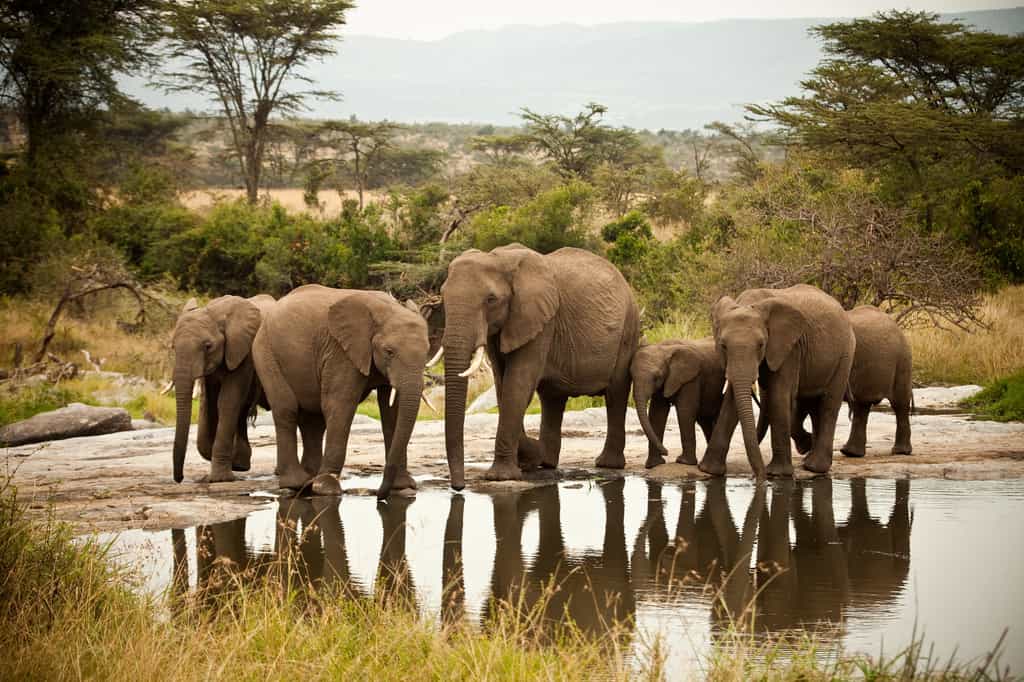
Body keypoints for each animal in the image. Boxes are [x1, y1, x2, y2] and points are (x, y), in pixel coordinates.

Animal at [171, 294, 275, 484]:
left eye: (208, 346)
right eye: (173, 347)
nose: (179, 479)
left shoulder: (244, 353)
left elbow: (227, 401)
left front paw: (219, 479)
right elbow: (210, 405)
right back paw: (241, 465)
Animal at [251, 285, 429, 499]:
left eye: (427, 351)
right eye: (389, 352)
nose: (378, 494)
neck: (387, 309)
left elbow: (392, 412)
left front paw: (403, 487)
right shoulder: (340, 351)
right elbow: (341, 404)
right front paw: (326, 488)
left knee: (313, 420)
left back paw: (309, 480)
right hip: (265, 352)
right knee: (286, 409)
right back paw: (296, 484)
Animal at [431, 243, 640, 487]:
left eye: (491, 299)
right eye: (443, 296)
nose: (459, 487)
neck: (499, 258)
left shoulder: (540, 321)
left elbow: (517, 385)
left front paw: (502, 476)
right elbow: (503, 385)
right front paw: (528, 458)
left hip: (628, 328)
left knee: (616, 393)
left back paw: (606, 464)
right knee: (552, 398)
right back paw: (547, 461)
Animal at [631, 338, 725, 468]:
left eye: (656, 377)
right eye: (631, 376)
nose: (666, 452)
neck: (665, 348)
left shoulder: (691, 378)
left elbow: (684, 411)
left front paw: (684, 462)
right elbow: (657, 414)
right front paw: (653, 465)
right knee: (704, 420)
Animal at [703, 284, 855, 477]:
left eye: (761, 345)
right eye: (723, 346)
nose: (758, 477)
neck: (749, 303)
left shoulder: (790, 348)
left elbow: (778, 396)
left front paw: (777, 474)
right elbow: (732, 401)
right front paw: (709, 470)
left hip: (845, 355)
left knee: (829, 404)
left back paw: (814, 467)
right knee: (813, 403)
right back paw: (808, 459)